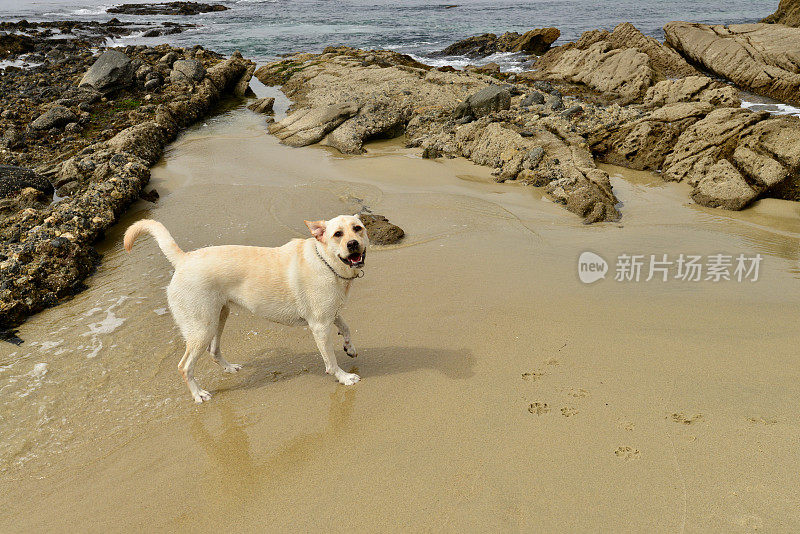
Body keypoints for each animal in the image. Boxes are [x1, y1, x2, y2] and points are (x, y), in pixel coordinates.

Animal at [123, 216, 368, 404]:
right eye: (337, 234)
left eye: (358, 228)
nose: (353, 244)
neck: (326, 261)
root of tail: (184, 259)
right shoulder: (319, 326)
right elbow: (331, 361)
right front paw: (344, 377)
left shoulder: (330, 314)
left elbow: (346, 326)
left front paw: (350, 348)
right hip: (202, 328)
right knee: (184, 367)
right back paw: (199, 394)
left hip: (219, 316)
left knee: (214, 351)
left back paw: (230, 368)